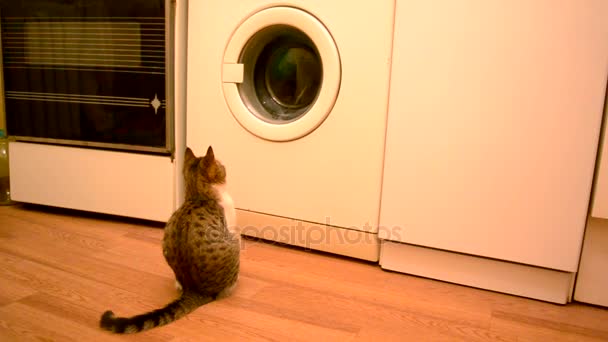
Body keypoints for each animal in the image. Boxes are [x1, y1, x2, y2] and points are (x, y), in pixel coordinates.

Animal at [98, 146, 239, 332]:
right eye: (221, 165)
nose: (225, 167)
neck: (197, 195)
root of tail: (194, 289)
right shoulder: (232, 227)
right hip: (235, 244)